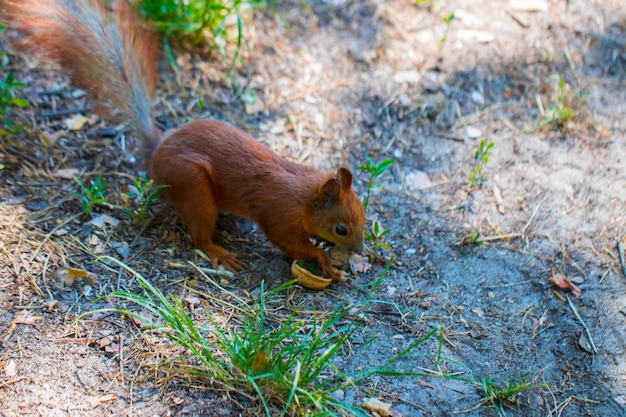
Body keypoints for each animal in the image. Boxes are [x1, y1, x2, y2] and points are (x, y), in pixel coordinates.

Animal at [3, 0, 366, 282]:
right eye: (341, 229)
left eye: (363, 214)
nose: (360, 250)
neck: (303, 195)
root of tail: (154, 155)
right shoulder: (279, 215)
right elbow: (288, 242)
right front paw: (323, 261)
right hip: (193, 186)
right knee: (198, 235)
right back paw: (220, 252)